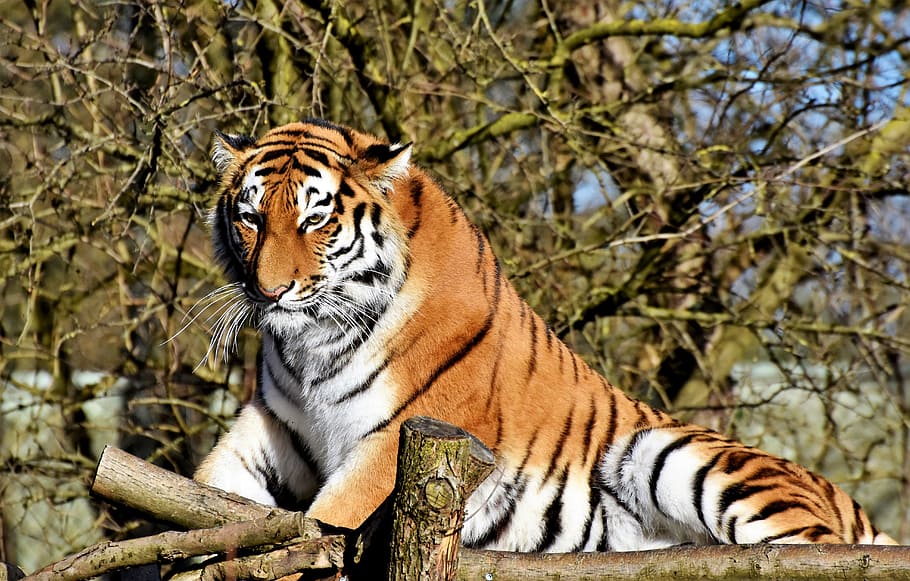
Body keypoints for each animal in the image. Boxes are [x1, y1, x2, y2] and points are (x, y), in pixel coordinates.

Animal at [193, 118, 897, 552]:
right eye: (252, 218)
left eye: (314, 220)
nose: (269, 291)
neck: (313, 344)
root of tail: (842, 495)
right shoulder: (278, 426)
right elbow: (209, 491)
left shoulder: (394, 439)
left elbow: (326, 521)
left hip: (676, 456)